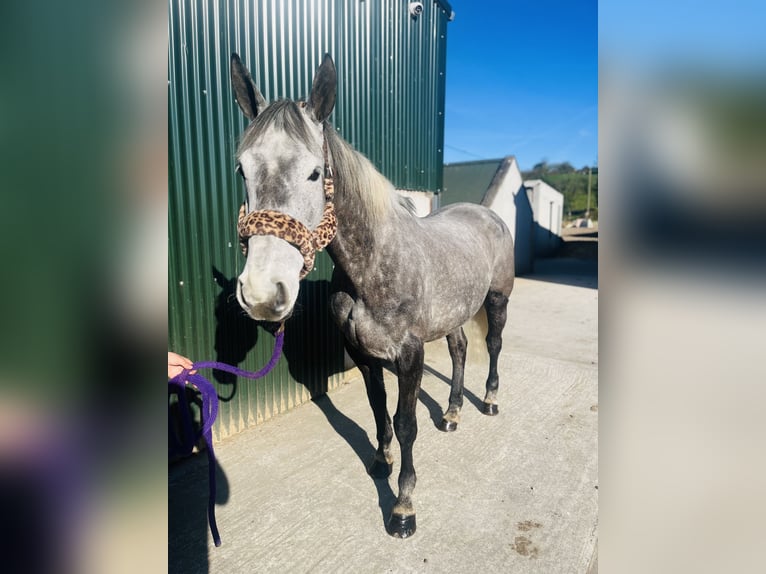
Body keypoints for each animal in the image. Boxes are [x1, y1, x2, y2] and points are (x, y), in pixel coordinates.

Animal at [230, 53, 515, 538]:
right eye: (242, 170)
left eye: (315, 172)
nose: (263, 292)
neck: (374, 267)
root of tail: (486, 214)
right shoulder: (363, 355)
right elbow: (378, 409)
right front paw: (381, 462)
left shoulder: (410, 355)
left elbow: (405, 423)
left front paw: (403, 507)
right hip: (455, 313)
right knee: (459, 349)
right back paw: (452, 414)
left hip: (497, 300)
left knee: (492, 345)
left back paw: (489, 402)